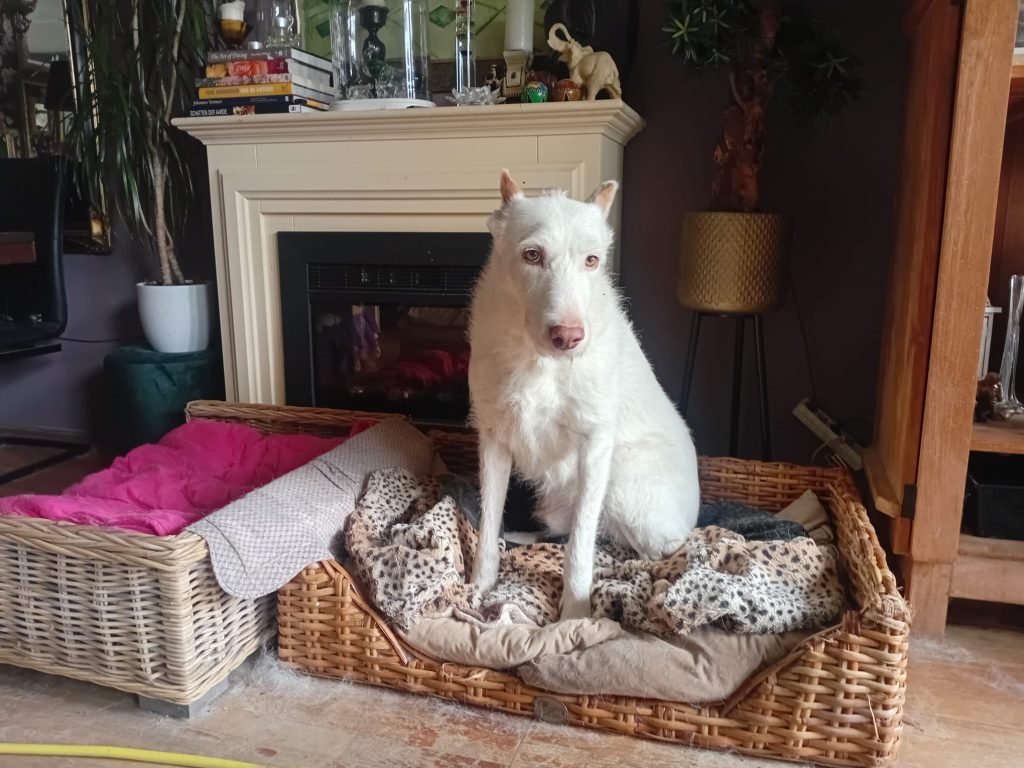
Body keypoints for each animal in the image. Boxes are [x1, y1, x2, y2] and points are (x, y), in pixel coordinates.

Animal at [468, 170, 701, 620]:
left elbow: (581, 545)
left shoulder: (594, 448)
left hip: (622, 481)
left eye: (592, 261)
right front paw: (480, 585)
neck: (540, 362)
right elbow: (488, 524)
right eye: (532, 255)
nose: (569, 337)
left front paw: (574, 613)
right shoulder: (494, 441)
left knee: (644, 548)